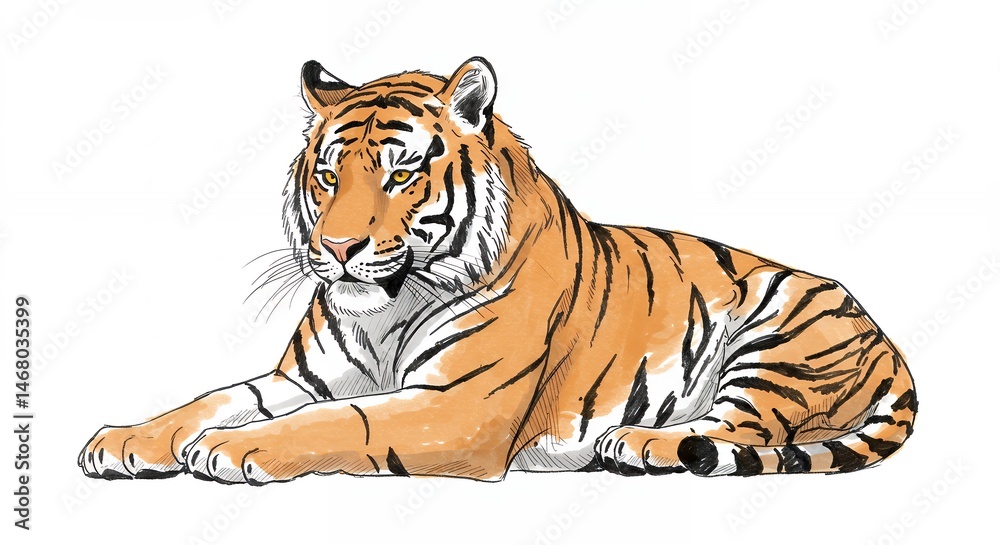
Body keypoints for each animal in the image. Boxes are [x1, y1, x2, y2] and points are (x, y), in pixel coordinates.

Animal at [80, 57, 916, 484]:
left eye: (400, 174)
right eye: (327, 177)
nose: (340, 247)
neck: (384, 310)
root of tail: (887, 339)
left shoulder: (460, 403)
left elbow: (342, 419)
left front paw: (234, 449)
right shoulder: (301, 377)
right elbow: (213, 398)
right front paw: (123, 439)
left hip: (776, 339)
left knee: (737, 426)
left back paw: (638, 445)